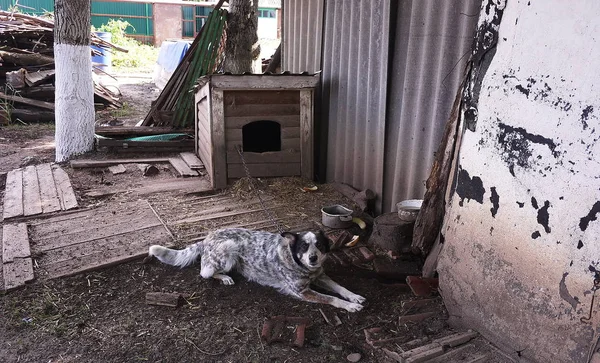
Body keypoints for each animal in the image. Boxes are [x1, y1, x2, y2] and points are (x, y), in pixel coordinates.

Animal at [150, 229, 366, 312]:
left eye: (319, 245)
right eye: (303, 247)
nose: (313, 258)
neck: (298, 263)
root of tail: (206, 239)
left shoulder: (320, 275)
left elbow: (340, 288)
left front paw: (354, 297)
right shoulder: (303, 292)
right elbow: (331, 298)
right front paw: (349, 306)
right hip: (229, 248)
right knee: (205, 273)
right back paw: (225, 277)